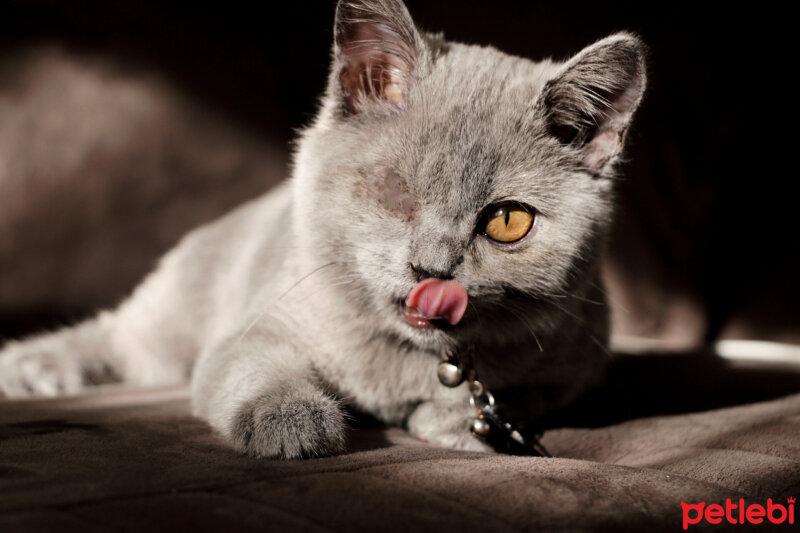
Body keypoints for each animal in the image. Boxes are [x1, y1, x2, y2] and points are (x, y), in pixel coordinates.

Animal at [0, 0, 644, 458]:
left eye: (508, 222)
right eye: (394, 191)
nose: (432, 270)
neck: (404, 359)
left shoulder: (579, 362)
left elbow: (514, 396)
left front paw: (455, 421)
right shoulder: (256, 327)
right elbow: (255, 369)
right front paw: (293, 425)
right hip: (172, 317)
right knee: (118, 336)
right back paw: (35, 369)